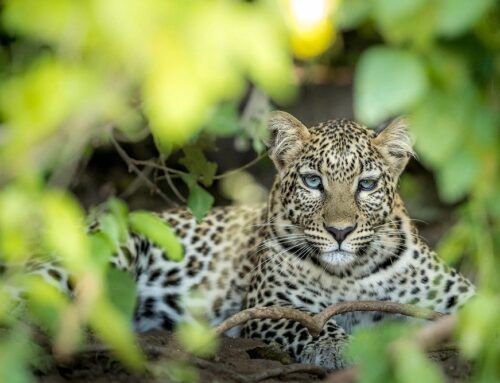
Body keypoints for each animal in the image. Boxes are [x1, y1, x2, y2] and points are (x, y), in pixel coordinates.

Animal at [26, 110, 472, 368]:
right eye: (313, 182)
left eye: (366, 184)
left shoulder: (455, 294)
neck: (351, 273)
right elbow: (314, 325)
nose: (340, 231)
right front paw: (338, 349)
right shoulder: (267, 307)